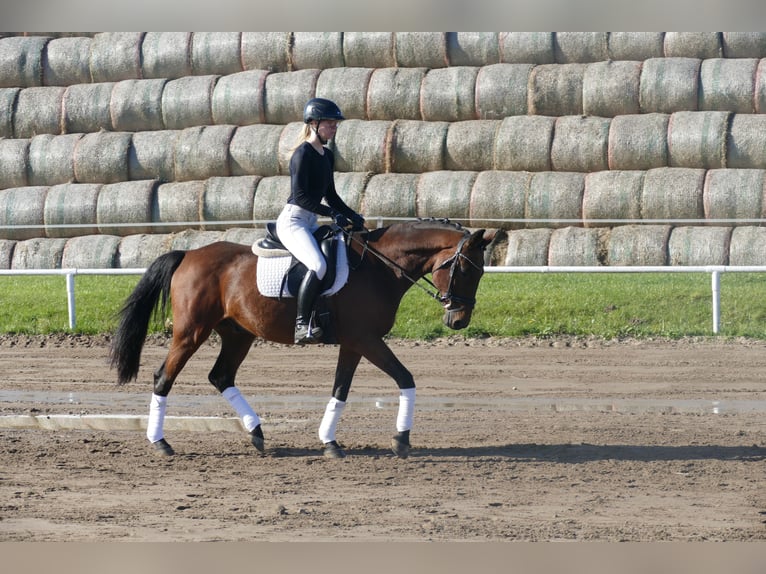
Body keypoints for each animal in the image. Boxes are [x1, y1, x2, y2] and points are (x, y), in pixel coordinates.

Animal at [109, 218, 497, 459]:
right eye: (464, 268)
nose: (459, 320)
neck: (380, 267)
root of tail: (189, 253)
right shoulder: (367, 340)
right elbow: (405, 377)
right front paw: (401, 440)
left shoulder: (354, 343)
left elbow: (340, 390)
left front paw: (330, 442)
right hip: (191, 333)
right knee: (164, 377)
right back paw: (160, 442)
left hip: (238, 335)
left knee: (221, 376)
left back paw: (257, 433)